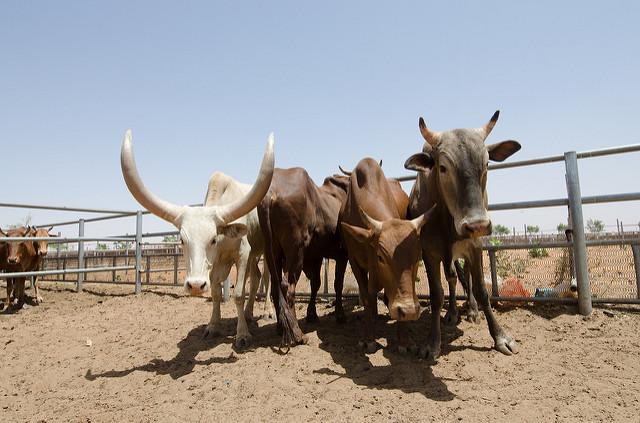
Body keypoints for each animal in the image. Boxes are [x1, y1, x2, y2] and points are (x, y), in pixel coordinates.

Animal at [120, 130, 276, 348]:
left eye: (213, 239)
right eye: (182, 240)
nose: (194, 286)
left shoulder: (242, 254)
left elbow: (238, 294)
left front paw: (242, 335)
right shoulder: (216, 263)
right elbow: (216, 292)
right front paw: (213, 326)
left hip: (264, 251)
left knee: (267, 278)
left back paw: (268, 311)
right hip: (254, 254)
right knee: (256, 278)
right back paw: (248, 314)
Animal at [258, 167, 352, 346]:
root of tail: (271, 193)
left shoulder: (315, 256)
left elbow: (316, 284)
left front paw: (312, 314)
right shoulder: (342, 254)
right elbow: (338, 284)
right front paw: (340, 315)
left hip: (273, 252)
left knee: (276, 288)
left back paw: (281, 327)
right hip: (296, 253)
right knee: (288, 288)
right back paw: (297, 334)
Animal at [340, 157, 436, 352]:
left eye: (417, 258)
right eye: (381, 257)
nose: (409, 310)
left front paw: (404, 340)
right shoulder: (354, 261)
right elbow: (367, 298)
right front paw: (368, 338)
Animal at [404, 110, 520, 362]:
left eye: (486, 163)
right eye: (443, 167)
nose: (477, 224)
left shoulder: (474, 247)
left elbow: (482, 291)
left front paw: (500, 337)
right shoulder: (430, 252)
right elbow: (437, 294)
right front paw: (432, 343)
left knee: (465, 277)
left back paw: (472, 311)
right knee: (452, 278)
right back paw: (452, 313)